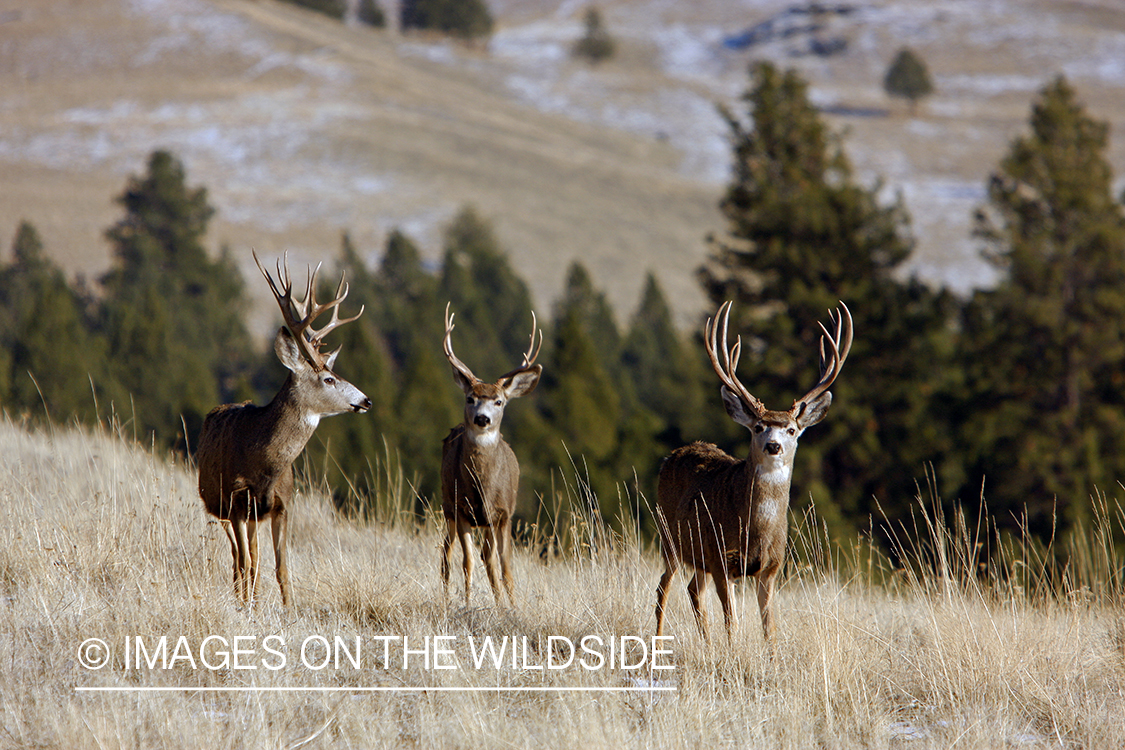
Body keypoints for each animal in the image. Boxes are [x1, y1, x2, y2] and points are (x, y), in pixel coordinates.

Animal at [196, 252, 371, 606]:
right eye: (328, 379)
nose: (366, 400)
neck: (263, 464)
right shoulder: (236, 502)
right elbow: (247, 563)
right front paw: (247, 609)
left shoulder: (283, 504)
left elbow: (281, 568)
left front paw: (289, 610)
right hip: (219, 507)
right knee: (239, 560)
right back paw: (243, 599)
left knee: (252, 557)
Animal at [440, 303, 542, 607]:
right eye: (470, 398)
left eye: (499, 401)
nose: (482, 418)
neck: (482, 487)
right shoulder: (462, 509)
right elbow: (468, 562)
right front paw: (468, 603)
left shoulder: (503, 513)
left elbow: (505, 566)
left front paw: (510, 607)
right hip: (447, 505)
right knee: (448, 554)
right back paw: (447, 597)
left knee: (488, 558)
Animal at [654, 300, 852, 643]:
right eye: (758, 427)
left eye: (791, 430)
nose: (773, 446)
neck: (755, 529)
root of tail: (673, 455)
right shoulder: (722, 559)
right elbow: (732, 622)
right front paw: (732, 652)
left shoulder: (771, 567)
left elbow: (769, 627)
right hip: (671, 537)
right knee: (663, 590)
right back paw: (658, 642)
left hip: (697, 556)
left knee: (693, 590)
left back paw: (706, 645)